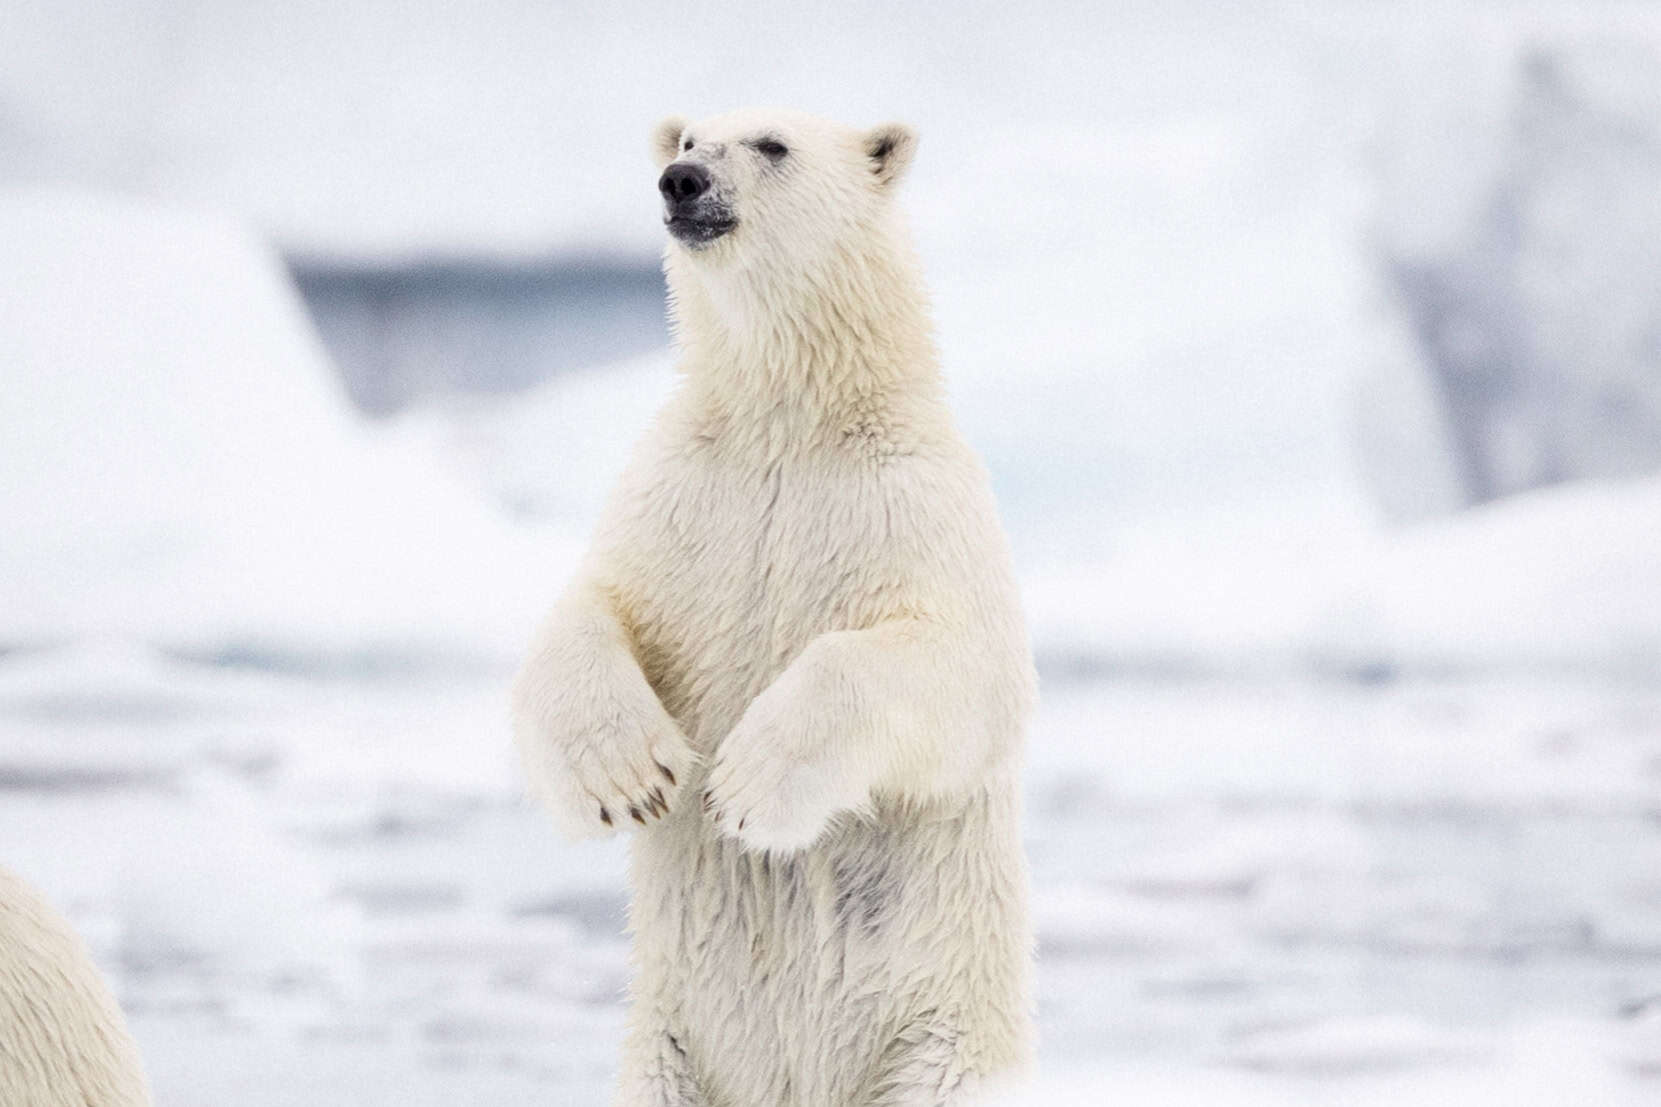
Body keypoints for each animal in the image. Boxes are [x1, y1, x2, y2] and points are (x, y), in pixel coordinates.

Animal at [511, 108, 1036, 1107]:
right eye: (688, 136)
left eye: (770, 144)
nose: (680, 181)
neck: (790, 424)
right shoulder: (679, 495)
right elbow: (590, 604)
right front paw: (629, 777)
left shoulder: (914, 505)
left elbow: (959, 673)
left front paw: (746, 788)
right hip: (667, 1053)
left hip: (937, 1040)